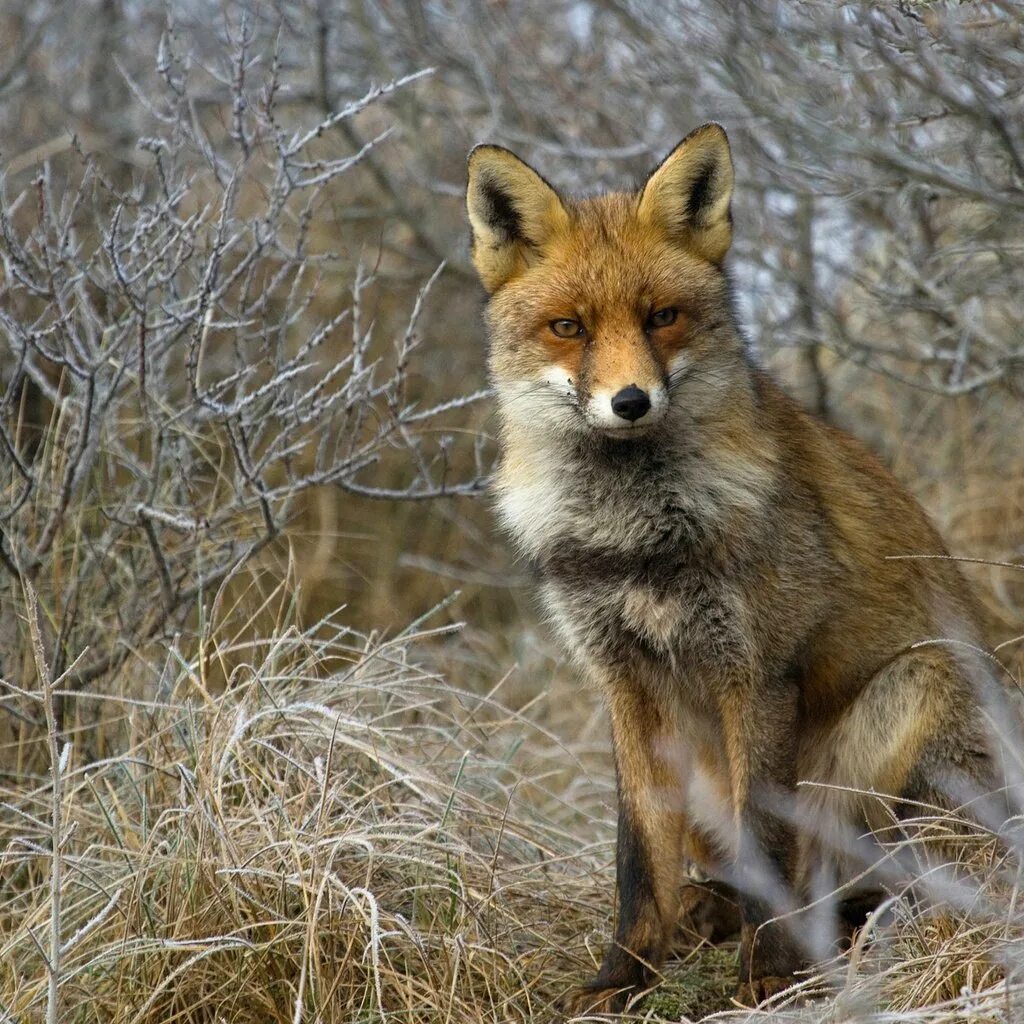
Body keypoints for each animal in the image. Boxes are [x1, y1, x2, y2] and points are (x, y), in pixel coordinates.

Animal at [464, 123, 1007, 1011]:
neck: (636, 541)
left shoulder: (756, 673)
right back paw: (708, 915)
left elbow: (766, 837)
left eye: (663, 317)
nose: (630, 402)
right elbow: (636, 856)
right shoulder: (625, 683)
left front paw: (770, 975)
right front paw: (624, 976)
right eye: (569, 327)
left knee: (873, 876)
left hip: (916, 693)